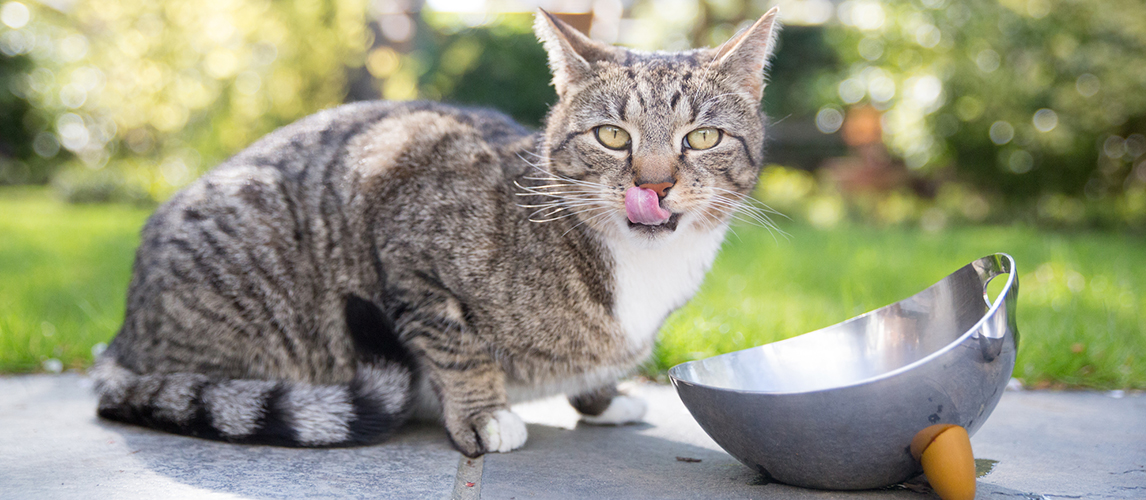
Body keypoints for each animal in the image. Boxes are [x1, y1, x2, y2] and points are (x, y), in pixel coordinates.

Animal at [93, 7, 783, 454]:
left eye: (703, 138)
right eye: (613, 136)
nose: (655, 184)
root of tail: (120, 342)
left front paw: (603, 398)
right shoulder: (401, 207)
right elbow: (455, 343)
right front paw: (485, 415)